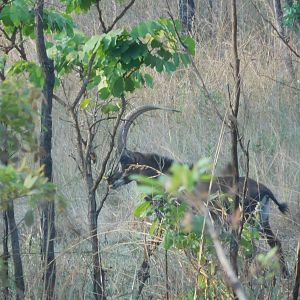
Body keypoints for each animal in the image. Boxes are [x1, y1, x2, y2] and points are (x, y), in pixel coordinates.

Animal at [108, 105, 288, 276]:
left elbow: (151, 248)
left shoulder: (172, 222)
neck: (166, 177)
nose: (109, 180)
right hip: (262, 221)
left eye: (124, 162)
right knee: (276, 244)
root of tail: (265, 190)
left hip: (250, 221)